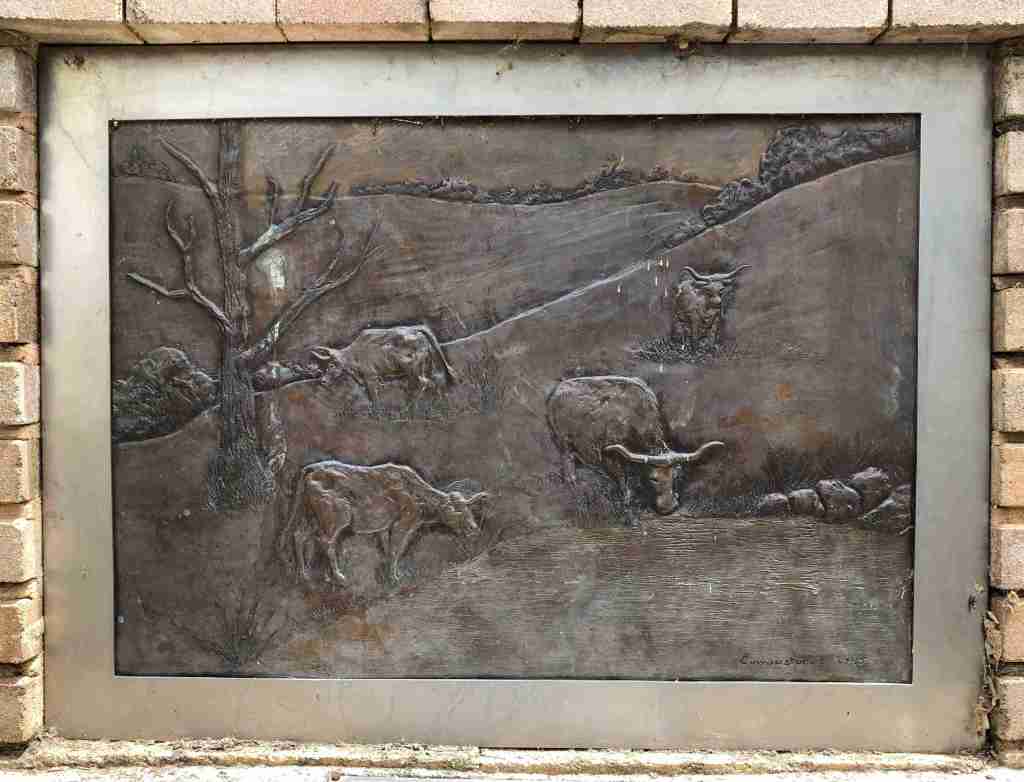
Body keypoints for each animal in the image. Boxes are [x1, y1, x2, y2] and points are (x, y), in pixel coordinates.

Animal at [278, 460, 487, 585]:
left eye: (469, 510)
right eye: (457, 513)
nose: (474, 529)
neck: (419, 497)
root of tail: (311, 468)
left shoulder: (385, 526)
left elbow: (387, 548)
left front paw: (387, 572)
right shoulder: (403, 524)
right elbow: (396, 550)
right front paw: (395, 577)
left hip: (310, 515)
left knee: (298, 535)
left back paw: (303, 573)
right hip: (335, 516)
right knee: (325, 542)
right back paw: (337, 576)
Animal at [310, 325, 457, 405]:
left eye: (331, 365)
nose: (323, 381)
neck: (354, 355)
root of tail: (417, 331)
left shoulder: (371, 378)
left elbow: (375, 401)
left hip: (413, 369)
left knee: (426, 384)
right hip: (425, 367)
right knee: (437, 382)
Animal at [547, 376, 723, 517]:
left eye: (676, 476)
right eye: (654, 478)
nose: (668, 507)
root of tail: (557, 390)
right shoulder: (611, 458)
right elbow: (623, 483)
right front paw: (627, 505)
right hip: (563, 445)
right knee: (569, 469)